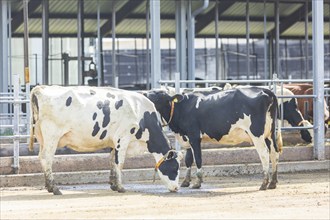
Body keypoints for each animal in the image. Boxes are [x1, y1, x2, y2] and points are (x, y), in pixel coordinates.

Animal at [28, 85, 183, 195]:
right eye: (175, 167)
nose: (176, 188)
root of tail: (41, 88)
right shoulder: (123, 137)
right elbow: (119, 162)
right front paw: (120, 187)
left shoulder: (115, 141)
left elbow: (112, 160)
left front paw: (113, 184)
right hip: (52, 136)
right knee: (47, 158)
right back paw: (54, 188)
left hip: (43, 138)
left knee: (42, 157)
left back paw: (49, 186)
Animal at [146, 87, 282, 191]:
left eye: (158, 94)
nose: (144, 94)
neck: (182, 108)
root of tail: (265, 90)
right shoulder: (187, 138)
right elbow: (189, 160)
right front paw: (186, 181)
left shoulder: (194, 136)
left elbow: (198, 159)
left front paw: (197, 183)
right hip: (269, 134)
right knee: (274, 153)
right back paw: (273, 183)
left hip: (257, 134)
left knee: (264, 154)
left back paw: (264, 183)